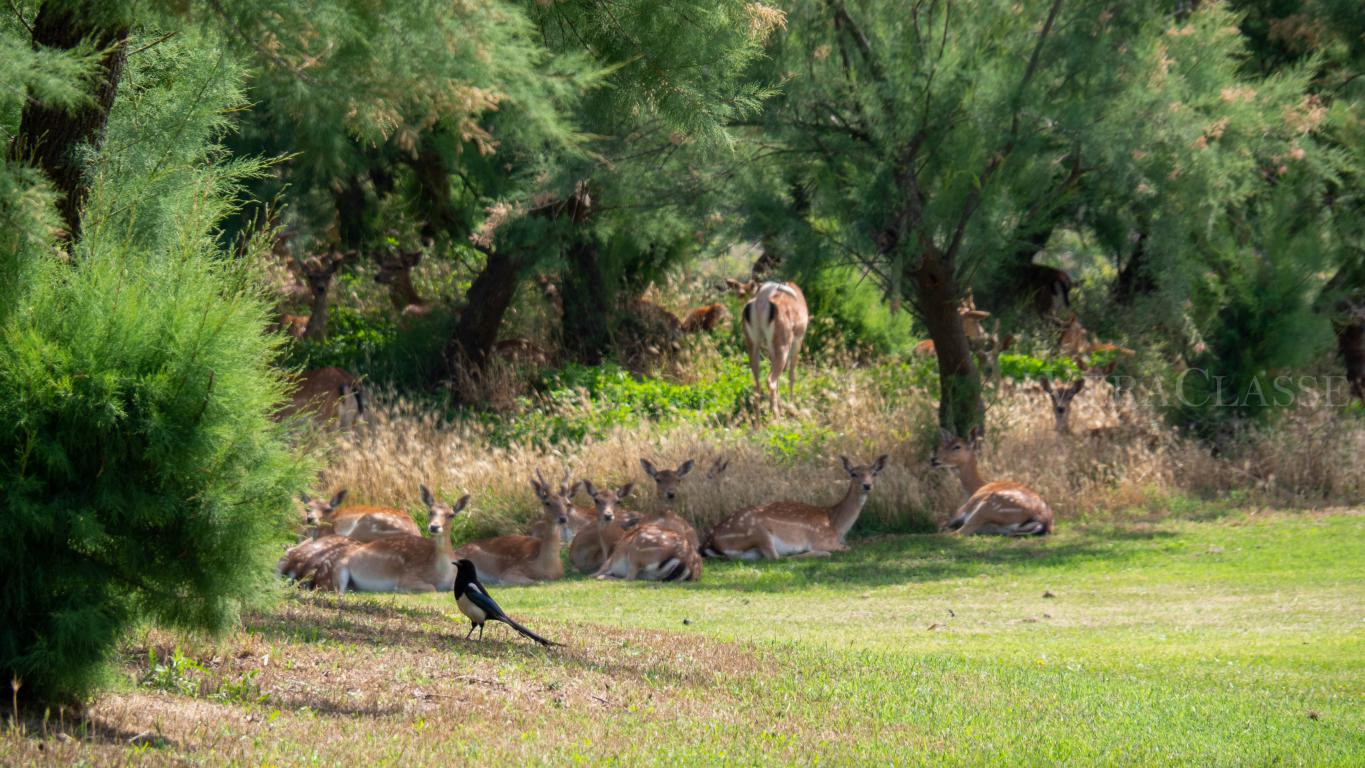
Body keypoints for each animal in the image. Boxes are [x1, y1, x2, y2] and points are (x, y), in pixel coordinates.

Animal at [331, 485, 469, 594]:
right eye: (430, 511)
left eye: (451, 514)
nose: (434, 526)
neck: (443, 575)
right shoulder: (408, 576)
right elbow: (431, 587)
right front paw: (398, 590)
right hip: (341, 567)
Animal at [698, 455, 889, 559]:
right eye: (854, 474)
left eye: (874, 473)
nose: (867, 485)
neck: (835, 524)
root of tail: (711, 540)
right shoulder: (823, 539)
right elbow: (848, 548)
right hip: (758, 531)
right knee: (776, 557)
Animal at [748, 281, 808, 414]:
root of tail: (761, 300)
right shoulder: (798, 342)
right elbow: (792, 374)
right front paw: (791, 402)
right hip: (783, 349)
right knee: (770, 380)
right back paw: (777, 415)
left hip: (755, 346)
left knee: (757, 382)